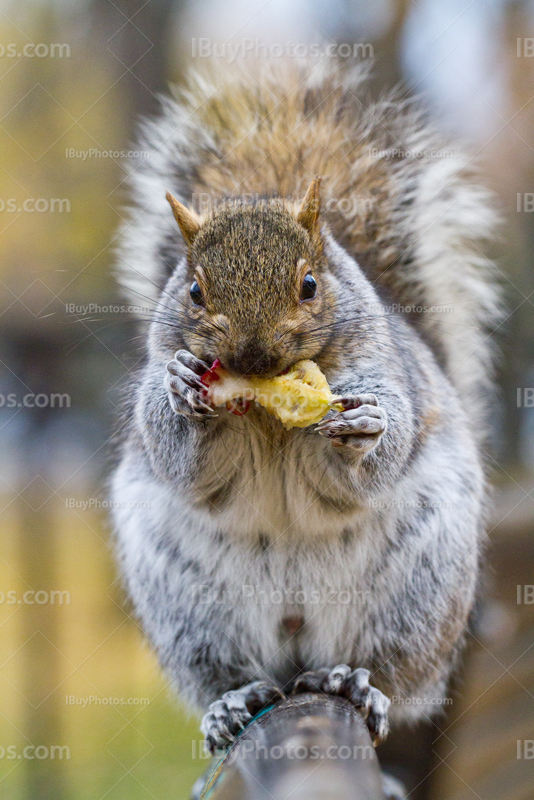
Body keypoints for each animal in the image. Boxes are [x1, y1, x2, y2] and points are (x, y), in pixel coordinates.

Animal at [111, 59, 504, 760]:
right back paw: (235, 700)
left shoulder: (388, 368)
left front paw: (367, 426)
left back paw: (354, 682)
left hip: (417, 592)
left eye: (310, 285)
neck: (267, 417)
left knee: (390, 669)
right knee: (230, 671)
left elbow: (374, 454)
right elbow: (181, 461)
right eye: (193, 290)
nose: (251, 354)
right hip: (188, 608)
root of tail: (297, 643)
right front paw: (183, 393)